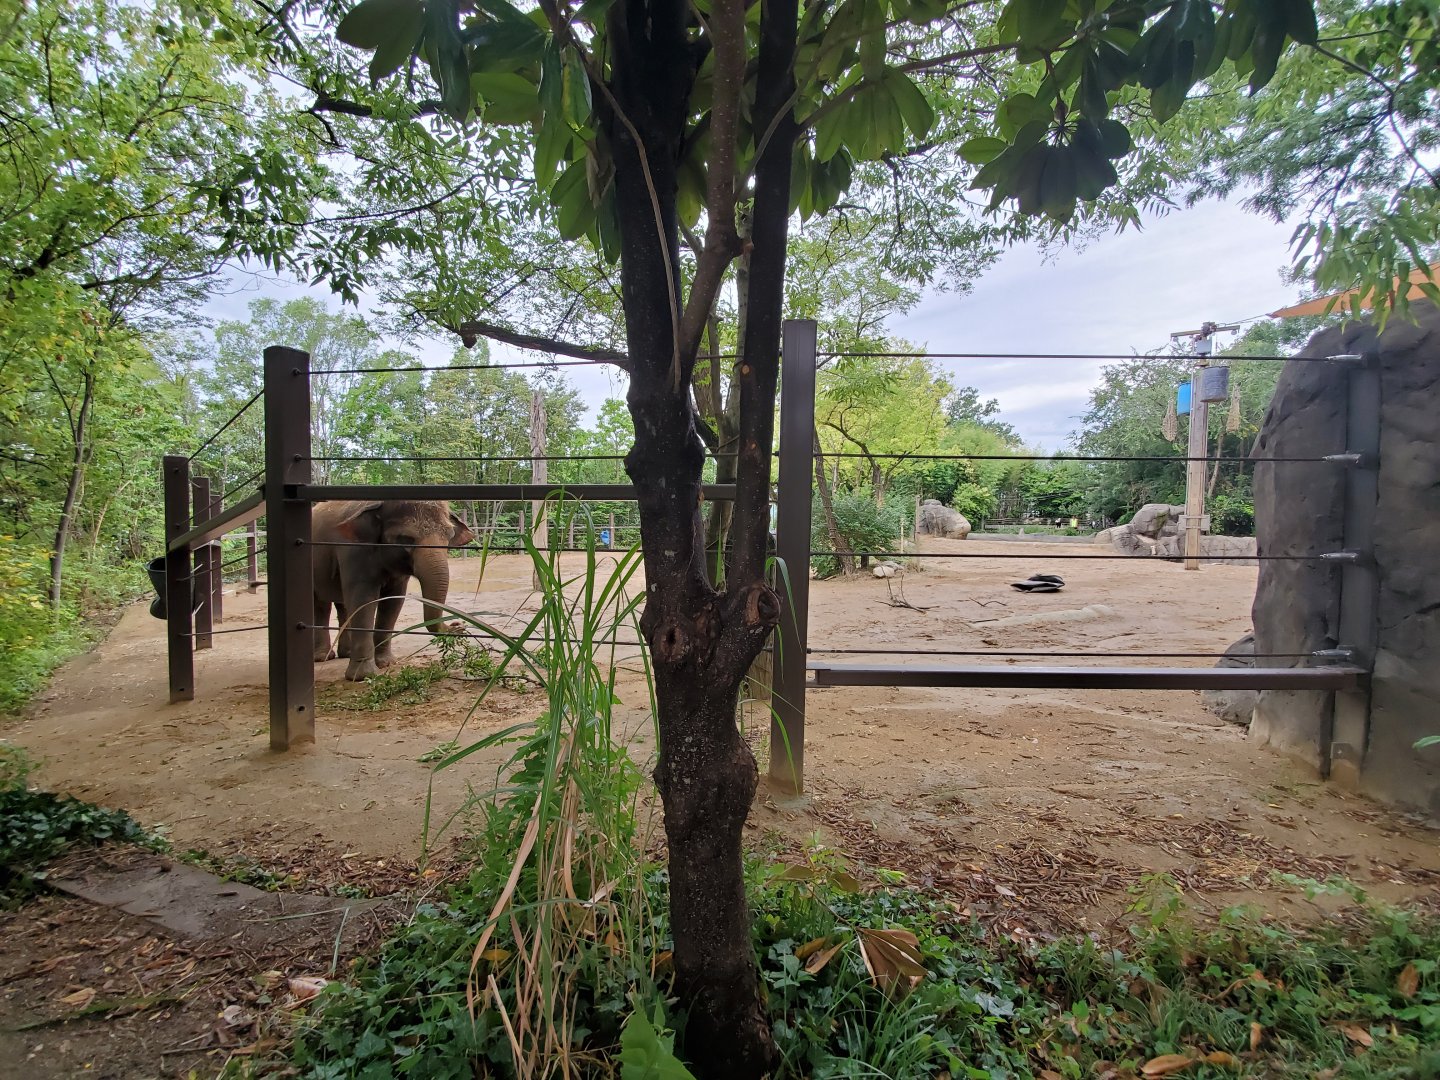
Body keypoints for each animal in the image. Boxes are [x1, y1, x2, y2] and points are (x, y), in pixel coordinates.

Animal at [311, 500, 474, 681]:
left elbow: (393, 601)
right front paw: (363, 676)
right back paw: (323, 657)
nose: (459, 625)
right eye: (407, 538)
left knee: (342, 606)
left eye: (449, 536)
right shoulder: (354, 551)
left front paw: (386, 663)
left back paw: (345, 654)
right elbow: (362, 599)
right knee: (321, 605)